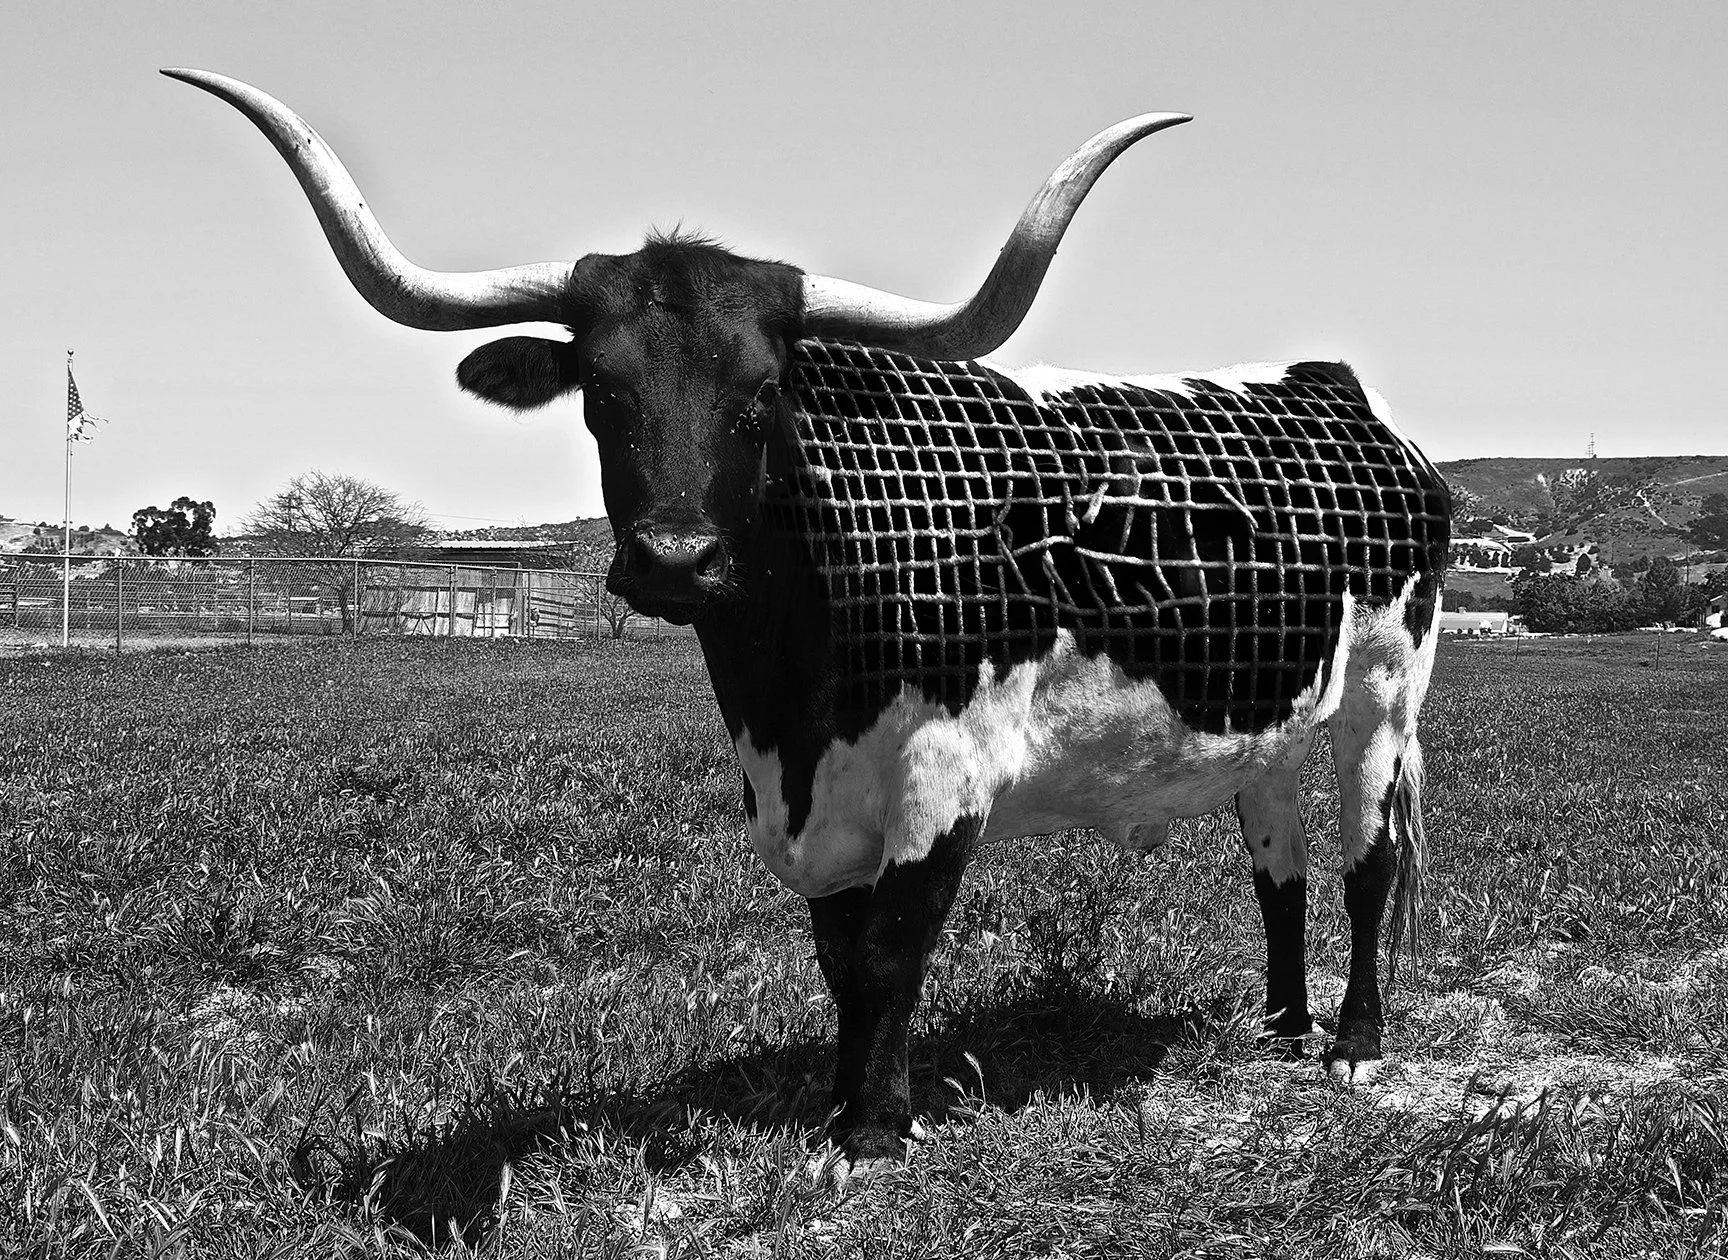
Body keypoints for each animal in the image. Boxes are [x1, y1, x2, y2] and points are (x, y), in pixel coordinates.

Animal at [165, 69, 1452, 1168]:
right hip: (1270, 716)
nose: (676, 560)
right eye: (602, 390)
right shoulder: (812, 794)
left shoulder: (943, 776)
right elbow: (840, 960)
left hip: (1384, 696)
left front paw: (875, 1130)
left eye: (762, 392)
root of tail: (1340, 395)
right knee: (1278, 867)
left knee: (1365, 861)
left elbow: (890, 949)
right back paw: (1280, 1026)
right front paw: (839, 1103)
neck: (785, 692)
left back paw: (1351, 1044)